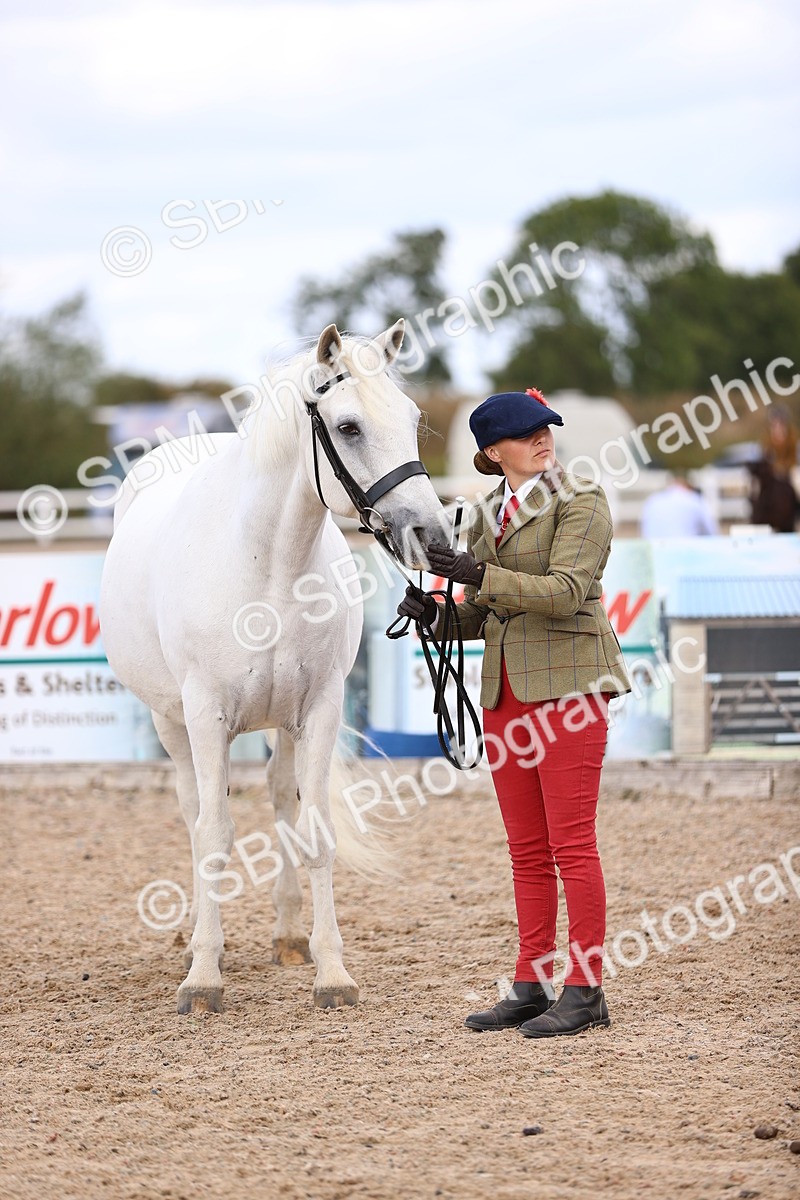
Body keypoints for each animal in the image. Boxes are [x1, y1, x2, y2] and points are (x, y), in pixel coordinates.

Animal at [99, 320, 446, 1014]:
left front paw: (331, 971)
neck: (268, 564)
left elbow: (315, 831)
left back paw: (288, 937)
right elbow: (214, 833)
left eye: (411, 418)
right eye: (348, 427)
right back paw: (200, 940)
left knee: (283, 800)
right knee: (194, 813)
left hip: (282, 725)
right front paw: (203, 976)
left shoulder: (318, 710)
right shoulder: (206, 716)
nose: (432, 534)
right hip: (171, 721)